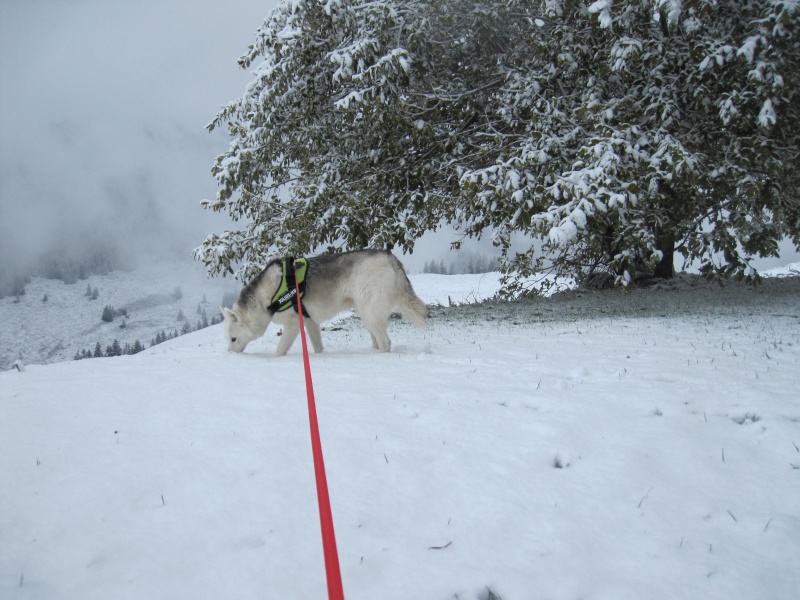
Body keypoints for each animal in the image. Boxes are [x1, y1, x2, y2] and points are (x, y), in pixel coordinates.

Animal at [222, 250, 428, 356]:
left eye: (233, 339)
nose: (230, 355)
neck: (267, 297)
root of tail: (389, 256)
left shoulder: (293, 324)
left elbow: (279, 351)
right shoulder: (310, 321)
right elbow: (317, 347)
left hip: (369, 313)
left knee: (386, 342)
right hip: (366, 314)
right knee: (378, 340)